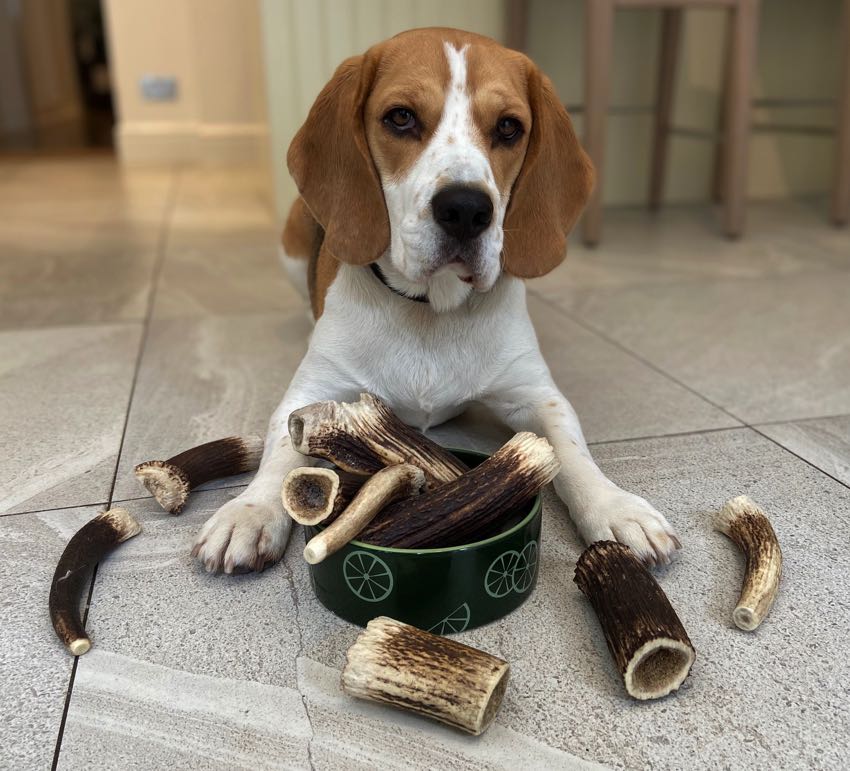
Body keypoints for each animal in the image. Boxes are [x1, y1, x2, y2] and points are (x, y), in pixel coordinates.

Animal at [189, 27, 680, 576]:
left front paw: (614, 505)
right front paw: (249, 511)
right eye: (401, 117)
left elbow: (572, 451)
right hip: (292, 246)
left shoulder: (535, 394)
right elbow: (280, 450)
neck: (432, 309)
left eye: (509, 127)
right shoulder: (311, 393)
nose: (466, 209)